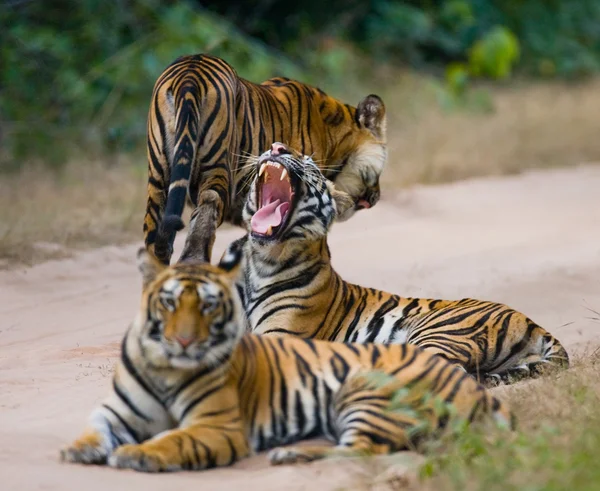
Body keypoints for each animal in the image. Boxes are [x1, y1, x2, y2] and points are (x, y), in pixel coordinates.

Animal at [59, 250, 510, 472]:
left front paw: (141, 453)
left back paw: (289, 455)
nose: (184, 341)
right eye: (168, 303)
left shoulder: (226, 415)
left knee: (368, 447)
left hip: (391, 369)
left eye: (208, 306)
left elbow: (177, 437)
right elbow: (97, 428)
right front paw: (80, 449)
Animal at [218, 143, 568, 388]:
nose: (278, 147)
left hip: (436, 333)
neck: (258, 260)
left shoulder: (278, 336)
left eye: (309, 163)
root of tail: (529, 320)